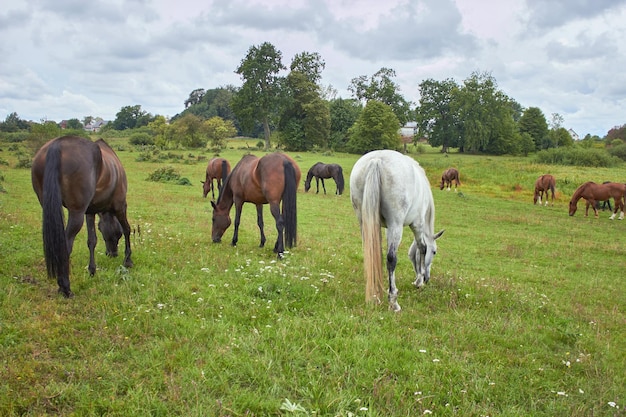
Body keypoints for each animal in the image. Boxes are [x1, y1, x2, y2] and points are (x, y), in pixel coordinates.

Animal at [31, 136, 133, 296]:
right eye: (117, 234)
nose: (112, 254)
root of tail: (57, 144)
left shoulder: (89, 212)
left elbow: (92, 240)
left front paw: (92, 270)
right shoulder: (120, 206)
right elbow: (127, 229)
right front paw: (128, 260)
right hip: (76, 213)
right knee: (65, 244)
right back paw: (65, 287)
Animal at [346, 149, 444, 308]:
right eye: (434, 252)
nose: (427, 278)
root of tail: (376, 160)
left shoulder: (386, 228)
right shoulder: (417, 224)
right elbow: (422, 248)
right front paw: (419, 281)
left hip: (365, 221)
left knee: (371, 252)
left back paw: (375, 294)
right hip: (396, 225)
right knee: (391, 258)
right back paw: (393, 300)